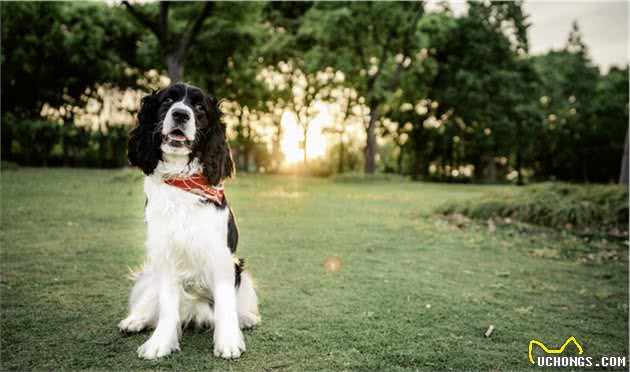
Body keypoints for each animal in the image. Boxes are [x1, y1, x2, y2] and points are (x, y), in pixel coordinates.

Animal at [118, 83, 260, 358]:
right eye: (167, 101)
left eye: (200, 107)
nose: (181, 114)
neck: (182, 181)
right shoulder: (166, 254)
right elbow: (166, 306)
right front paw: (160, 343)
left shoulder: (221, 257)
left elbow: (226, 304)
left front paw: (228, 342)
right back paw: (135, 320)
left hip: (240, 270)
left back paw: (247, 318)